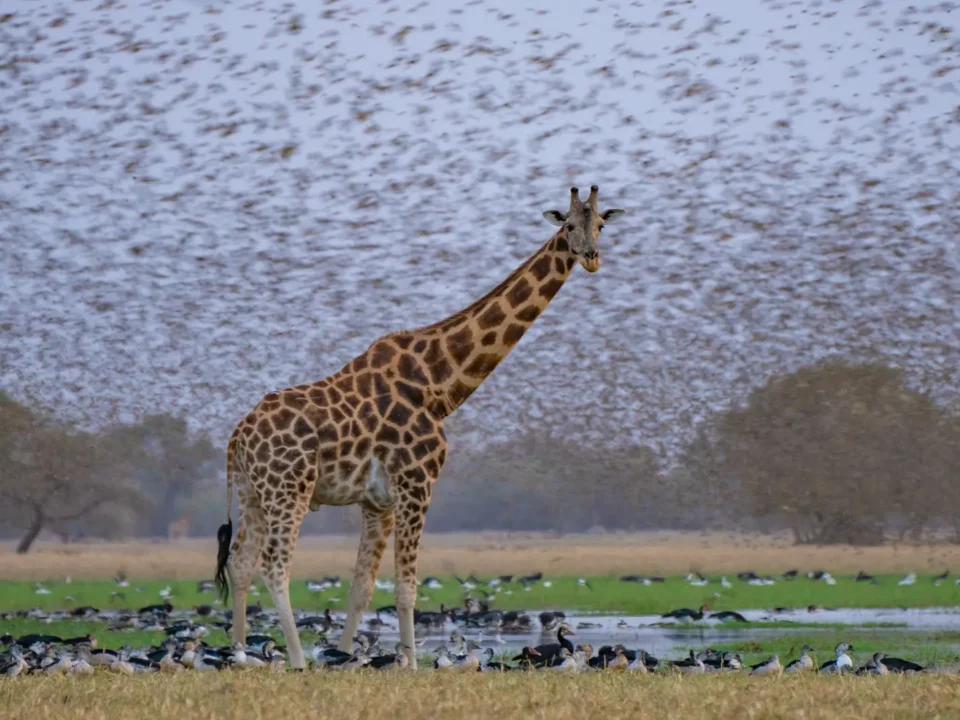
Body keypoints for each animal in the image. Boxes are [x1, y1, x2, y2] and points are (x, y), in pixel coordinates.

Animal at [214, 186, 625, 669]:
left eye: (601, 224)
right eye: (569, 226)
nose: (592, 257)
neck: (438, 382)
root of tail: (238, 437)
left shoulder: (379, 503)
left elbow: (362, 587)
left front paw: (346, 656)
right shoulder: (417, 483)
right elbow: (407, 587)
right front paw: (408, 665)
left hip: (251, 492)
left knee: (240, 563)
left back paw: (240, 652)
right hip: (288, 489)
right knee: (275, 566)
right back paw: (295, 660)